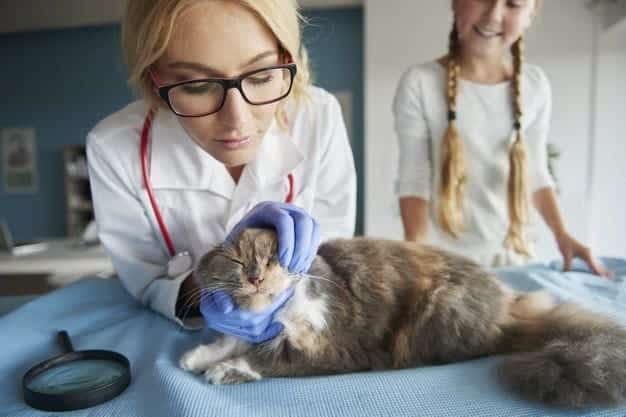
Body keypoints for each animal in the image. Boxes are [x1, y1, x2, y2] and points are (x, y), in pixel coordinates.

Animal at [179, 228, 624, 406]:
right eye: (238, 261)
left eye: (273, 258)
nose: (255, 278)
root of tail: (510, 303)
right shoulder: (255, 327)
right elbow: (232, 339)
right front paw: (198, 357)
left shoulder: (328, 347)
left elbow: (262, 356)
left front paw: (222, 370)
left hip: (438, 311)